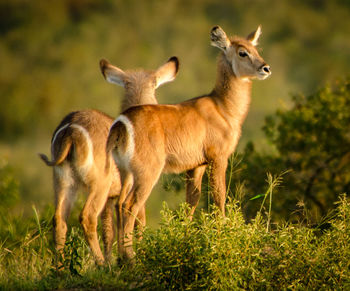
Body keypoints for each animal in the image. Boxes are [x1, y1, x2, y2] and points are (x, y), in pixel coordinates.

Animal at [39, 56, 179, 266]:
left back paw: (61, 268)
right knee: (87, 217)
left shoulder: (111, 199)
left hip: (63, 182)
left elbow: (108, 231)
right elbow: (138, 221)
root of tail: (71, 129)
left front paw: (118, 258)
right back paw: (101, 265)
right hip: (99, 185)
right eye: (155, 83)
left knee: (59, 219)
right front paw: (132, 257)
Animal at [108, 26, 272, 262]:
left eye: (256, 49)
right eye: (242, 52)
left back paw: (120, 258)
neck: (224, 108)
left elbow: (191, 203)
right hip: (147, 172)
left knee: (119, 204)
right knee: (130, 205)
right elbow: (218, 197)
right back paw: (131, 257)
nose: (265, 68)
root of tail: (122, 123)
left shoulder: (196, 166)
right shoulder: (218, 158)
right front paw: (222, 237)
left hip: (125, 172)